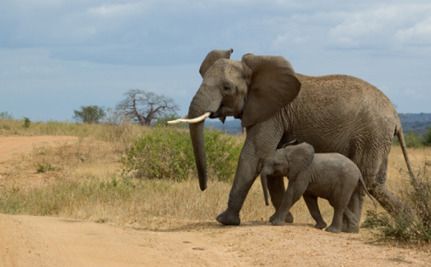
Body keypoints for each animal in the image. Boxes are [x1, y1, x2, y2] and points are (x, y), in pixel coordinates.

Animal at [168, 49, 416, 227]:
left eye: (227, 88)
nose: (203, 188)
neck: (254, 71)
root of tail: (396, 118)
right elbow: (269, 156)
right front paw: (284, 220)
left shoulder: (272, 112)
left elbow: (254, 155)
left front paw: (225, 221)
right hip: (378, 137)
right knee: (376, 184)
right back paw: (409, 221)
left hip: (370, 134)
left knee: (365, 177)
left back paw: (350, 227)